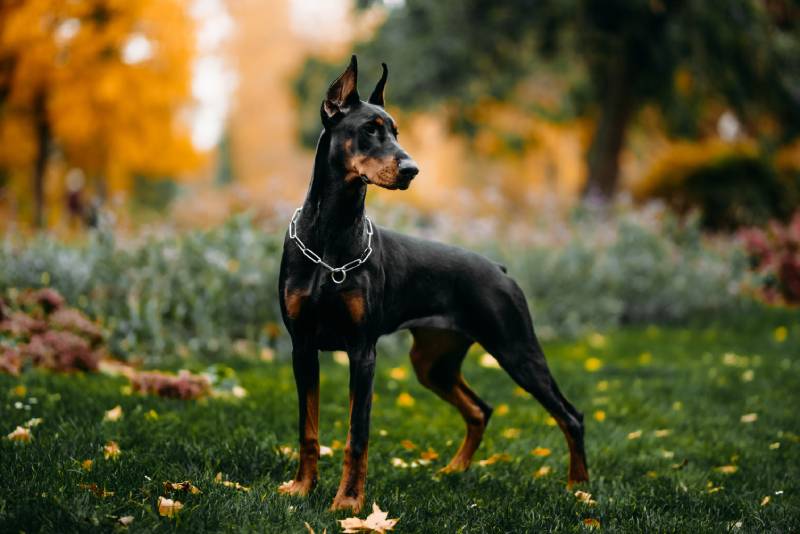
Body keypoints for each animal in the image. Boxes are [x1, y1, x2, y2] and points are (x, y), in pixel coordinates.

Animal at [276, 56, 588, 512]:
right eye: (370, 128)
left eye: (396, 131)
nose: (411, 170)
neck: (330, 237)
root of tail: (499, 269)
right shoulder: (302, 346)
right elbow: (308, 429)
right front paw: (301, 488)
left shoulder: (362, 352)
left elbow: (357, 434)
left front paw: (348, 503)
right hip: (433, 362)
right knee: (480, 409)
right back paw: (453, 470)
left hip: (516, 349)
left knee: (570, 415)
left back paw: (579, 488)